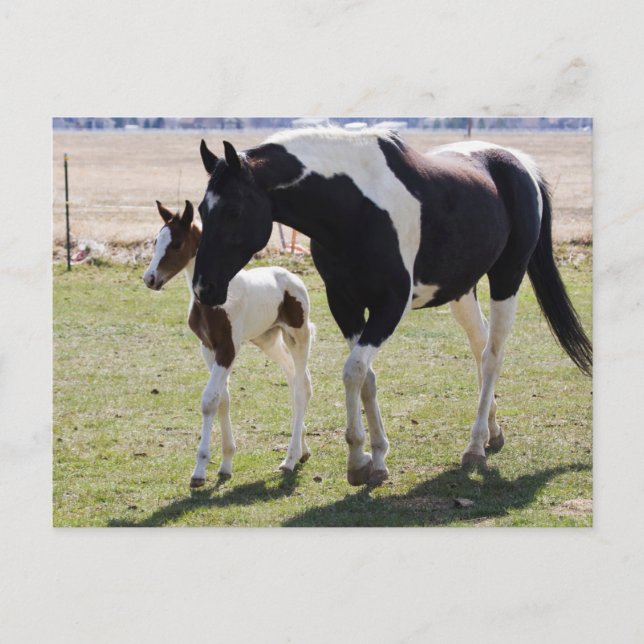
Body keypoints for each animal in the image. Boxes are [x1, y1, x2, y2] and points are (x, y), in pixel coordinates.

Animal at [143, 200, 314, 487]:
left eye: (176, 243)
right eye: (156, 241)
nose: (150, 279)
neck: (210, 300)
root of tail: (292, 277)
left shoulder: (228, 348)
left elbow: (209, 400)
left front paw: (200, 471)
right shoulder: (208, 348)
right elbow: (223, 398)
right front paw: (225, 465)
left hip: (297, 336)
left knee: (301, 388)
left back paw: (289, 459)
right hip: (267, 339)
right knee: (294, 379)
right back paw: (303, 450)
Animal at [191, 127, 592, 487]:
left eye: (232, 210)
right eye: (201, 211)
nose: (203, 289)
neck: (355, 208)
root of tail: (518, 163)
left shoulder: (390, 306)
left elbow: (353, 371)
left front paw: (357, 459)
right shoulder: (345, 305)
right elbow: (367, 378)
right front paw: (377, 459)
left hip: (507, 279)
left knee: (493, 357)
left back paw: (475, 446)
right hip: (463, 292)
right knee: (480, 349)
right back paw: (493, 431)